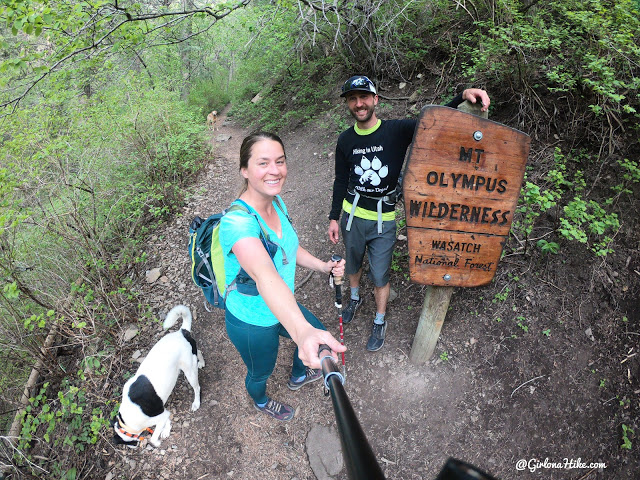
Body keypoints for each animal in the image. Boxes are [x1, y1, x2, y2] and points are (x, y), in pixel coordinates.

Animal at [112, 306, 205, 448]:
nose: (135, 446)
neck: (127, 422)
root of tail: (181, 332)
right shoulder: (164, 413)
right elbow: (166, 422)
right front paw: (166, 430)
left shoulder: (160, 416)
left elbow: (153, 437)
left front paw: (157, 440)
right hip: (192, 356)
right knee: (198, 351)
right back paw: (201, 362)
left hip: (189, 372)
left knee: (197, 388)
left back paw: (196, 402)